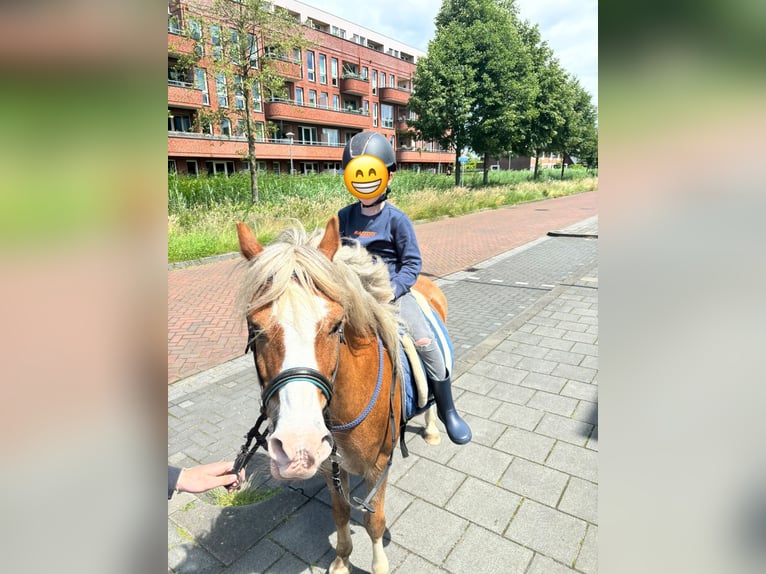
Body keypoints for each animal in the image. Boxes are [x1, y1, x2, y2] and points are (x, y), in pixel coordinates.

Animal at [235, 216, 446, 574]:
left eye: (336, 325)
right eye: (254, 327)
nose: (298, 447)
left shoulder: (379, 466)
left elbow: (375, 522)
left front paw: (378, 566)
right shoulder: (331, 466)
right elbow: (341, 512)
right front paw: (342, 561)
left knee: (432, 390)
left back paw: (432, 430)